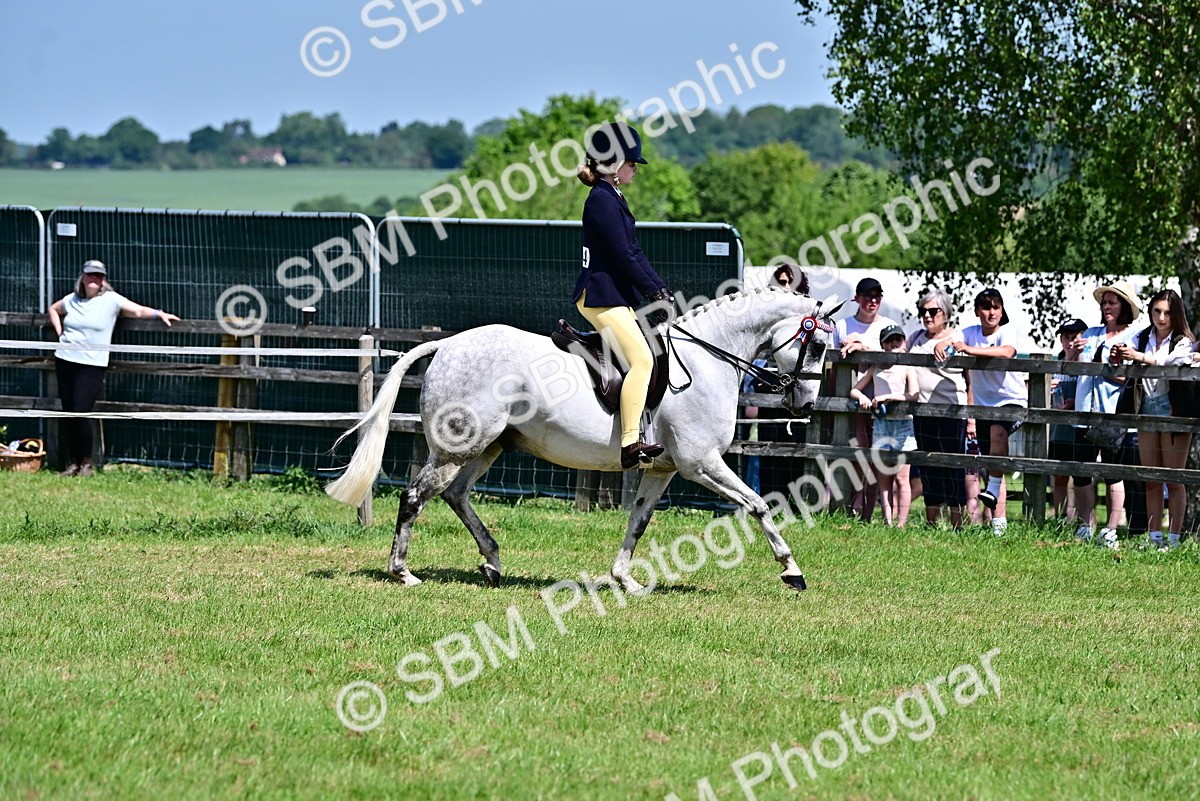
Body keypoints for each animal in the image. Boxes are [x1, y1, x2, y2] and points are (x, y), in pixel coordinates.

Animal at [326, 286, 844, 592]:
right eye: (817, 344)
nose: (805, 405)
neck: (706, 361)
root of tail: (448, 344)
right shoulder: (702, 463)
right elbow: (757, 505)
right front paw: (791, 570)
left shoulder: (663, 468)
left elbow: (638, 521)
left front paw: (624, 580)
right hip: (459, 446)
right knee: (416, 495)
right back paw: (403, 572)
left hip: (489, 446)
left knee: (455, 495)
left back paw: (492, 563)